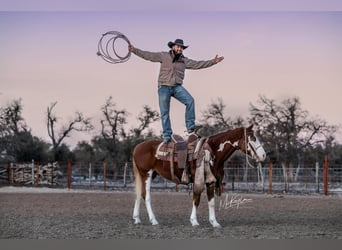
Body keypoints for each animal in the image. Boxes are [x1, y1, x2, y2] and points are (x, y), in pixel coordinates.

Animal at [132, 124, 266, 228]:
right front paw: (194, 221)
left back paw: (137, 218)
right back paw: (153, 220)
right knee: (146, 196)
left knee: (139, 194)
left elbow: (211, 202)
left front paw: (214, 222)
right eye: (253, 138)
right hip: (146, 174)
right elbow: (196, 200)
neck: (212, 151)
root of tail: (137, 147)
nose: (264, 155)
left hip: (150, 174)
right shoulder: (198, 180)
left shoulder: (211, 181)